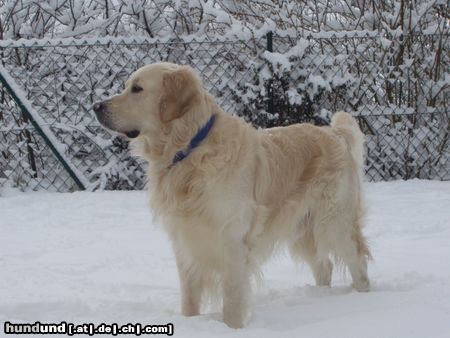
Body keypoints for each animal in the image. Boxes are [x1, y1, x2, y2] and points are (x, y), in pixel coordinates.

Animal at [93, 62, 370, 328]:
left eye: (137, 89)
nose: (96, 106)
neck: (190, 150)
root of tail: (336, 134)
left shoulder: (232, 240)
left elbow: (233, 298)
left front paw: (232, 327)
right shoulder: (185, 242)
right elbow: (189, 297)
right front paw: (190, 322)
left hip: (334, 222)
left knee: (356, 261)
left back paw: (362, 297)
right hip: (303, 228)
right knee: (325, 265)